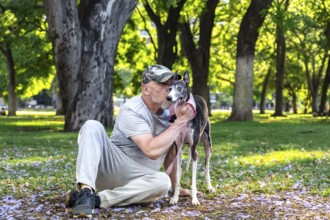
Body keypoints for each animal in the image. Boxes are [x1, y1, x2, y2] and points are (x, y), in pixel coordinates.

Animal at [165, 71, 217, 205]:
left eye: (179, 88)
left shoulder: (194, 151)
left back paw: (209, 187)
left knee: (206, 167)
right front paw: (175, 198)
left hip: (208, 145)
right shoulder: (178, 149)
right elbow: (177, 175)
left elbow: (193, 181)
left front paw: (194, 199)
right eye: (169, 88)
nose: (168, 98)